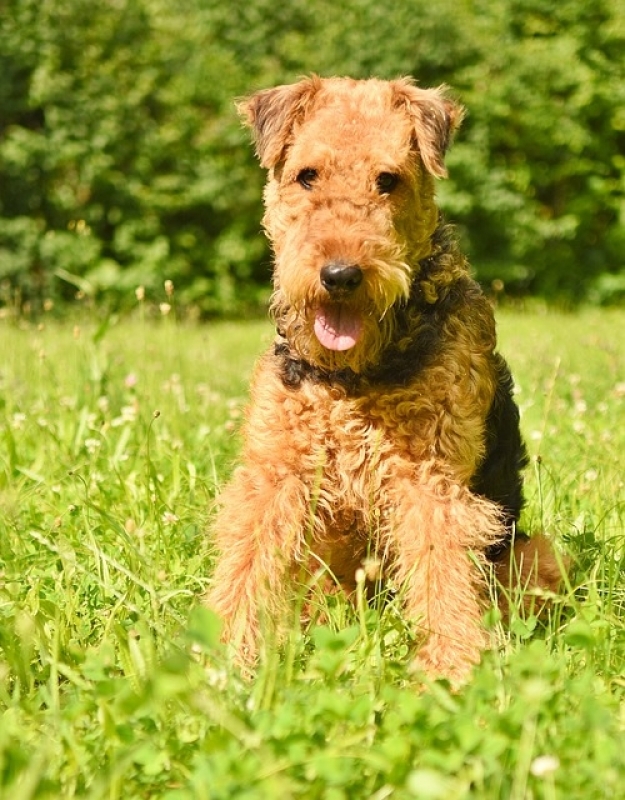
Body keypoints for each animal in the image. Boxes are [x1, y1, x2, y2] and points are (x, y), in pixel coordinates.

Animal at [207, 75, 564, 680]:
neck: (353, 376)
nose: (340, 275)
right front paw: (219, 656)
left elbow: (441, 569)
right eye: (307, 175)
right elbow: (248, 560)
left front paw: (451, 669)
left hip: (536, 553)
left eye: (388, 180)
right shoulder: (277, 469)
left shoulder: (429, 478)